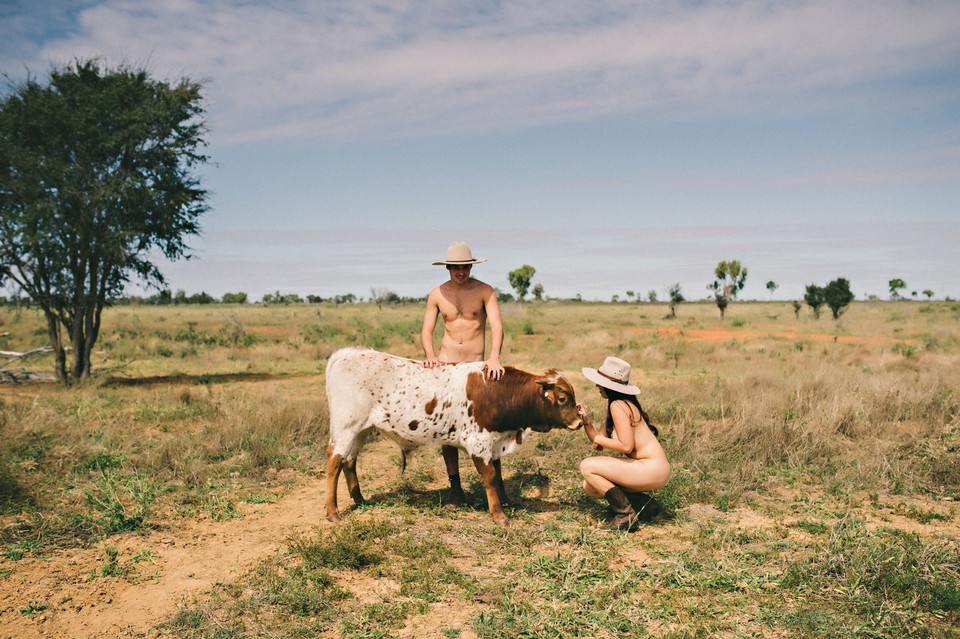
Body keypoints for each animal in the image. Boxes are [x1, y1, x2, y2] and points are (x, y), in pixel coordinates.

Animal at [322, 350, 580, 524]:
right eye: (562, 398)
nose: (578, 422)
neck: (498, 392)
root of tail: (348, 353)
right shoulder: (479, 443)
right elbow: (489, 477)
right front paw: (499, 515)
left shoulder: (494, 442)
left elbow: (498, 475)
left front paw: (505, 501)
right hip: (346, 427)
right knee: (334, 462)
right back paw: (333, 512)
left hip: (361, 430)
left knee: (350, 461)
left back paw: (360, 500)